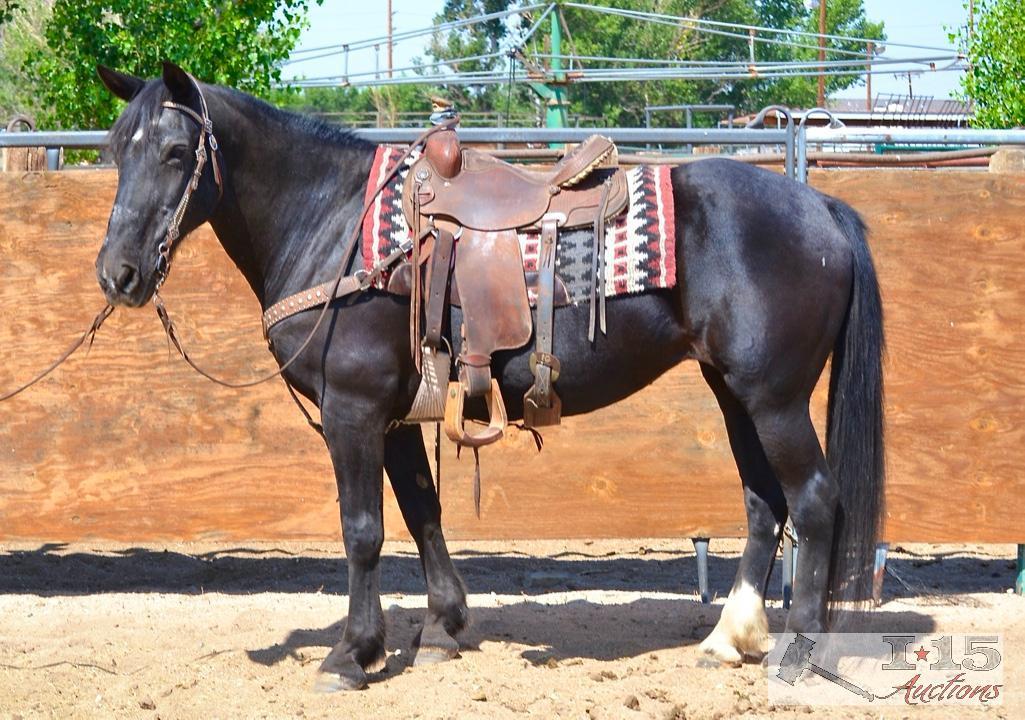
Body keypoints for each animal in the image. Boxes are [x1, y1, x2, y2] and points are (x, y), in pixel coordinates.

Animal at [92, 63, 885, 693]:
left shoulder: (353, 409)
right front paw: (443, 629)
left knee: (814, 499)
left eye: (174, 152)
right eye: (115, 150)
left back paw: (798, 651)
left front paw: (352, 656)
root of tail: (820, 207)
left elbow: (362, 530)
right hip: (733, 392)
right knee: (763, 502)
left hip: (774, 398)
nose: (118, 273)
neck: (335, 222)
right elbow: (422, 513)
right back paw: (728, 639)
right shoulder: (395, 414)